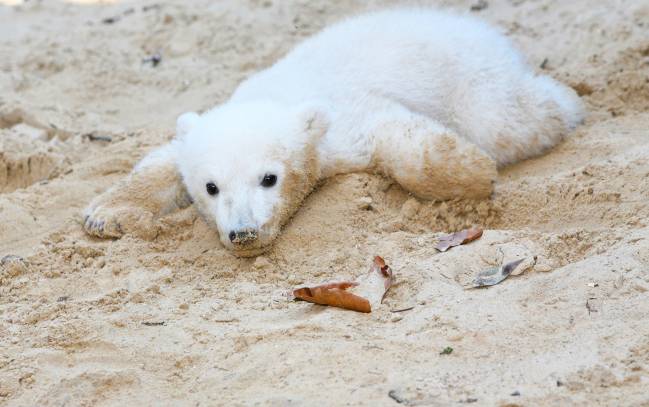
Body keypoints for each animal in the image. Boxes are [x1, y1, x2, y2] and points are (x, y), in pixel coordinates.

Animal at [83, 8, 584, 257]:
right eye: (211, 187)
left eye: (270, 178)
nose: (243, 233)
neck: (279, 95)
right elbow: (164, 159)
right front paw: (105, 215)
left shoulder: (346, 117)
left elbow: (398, 137)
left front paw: (474, 170)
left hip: (472, 74)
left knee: (505, 120)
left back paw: (566, 97)